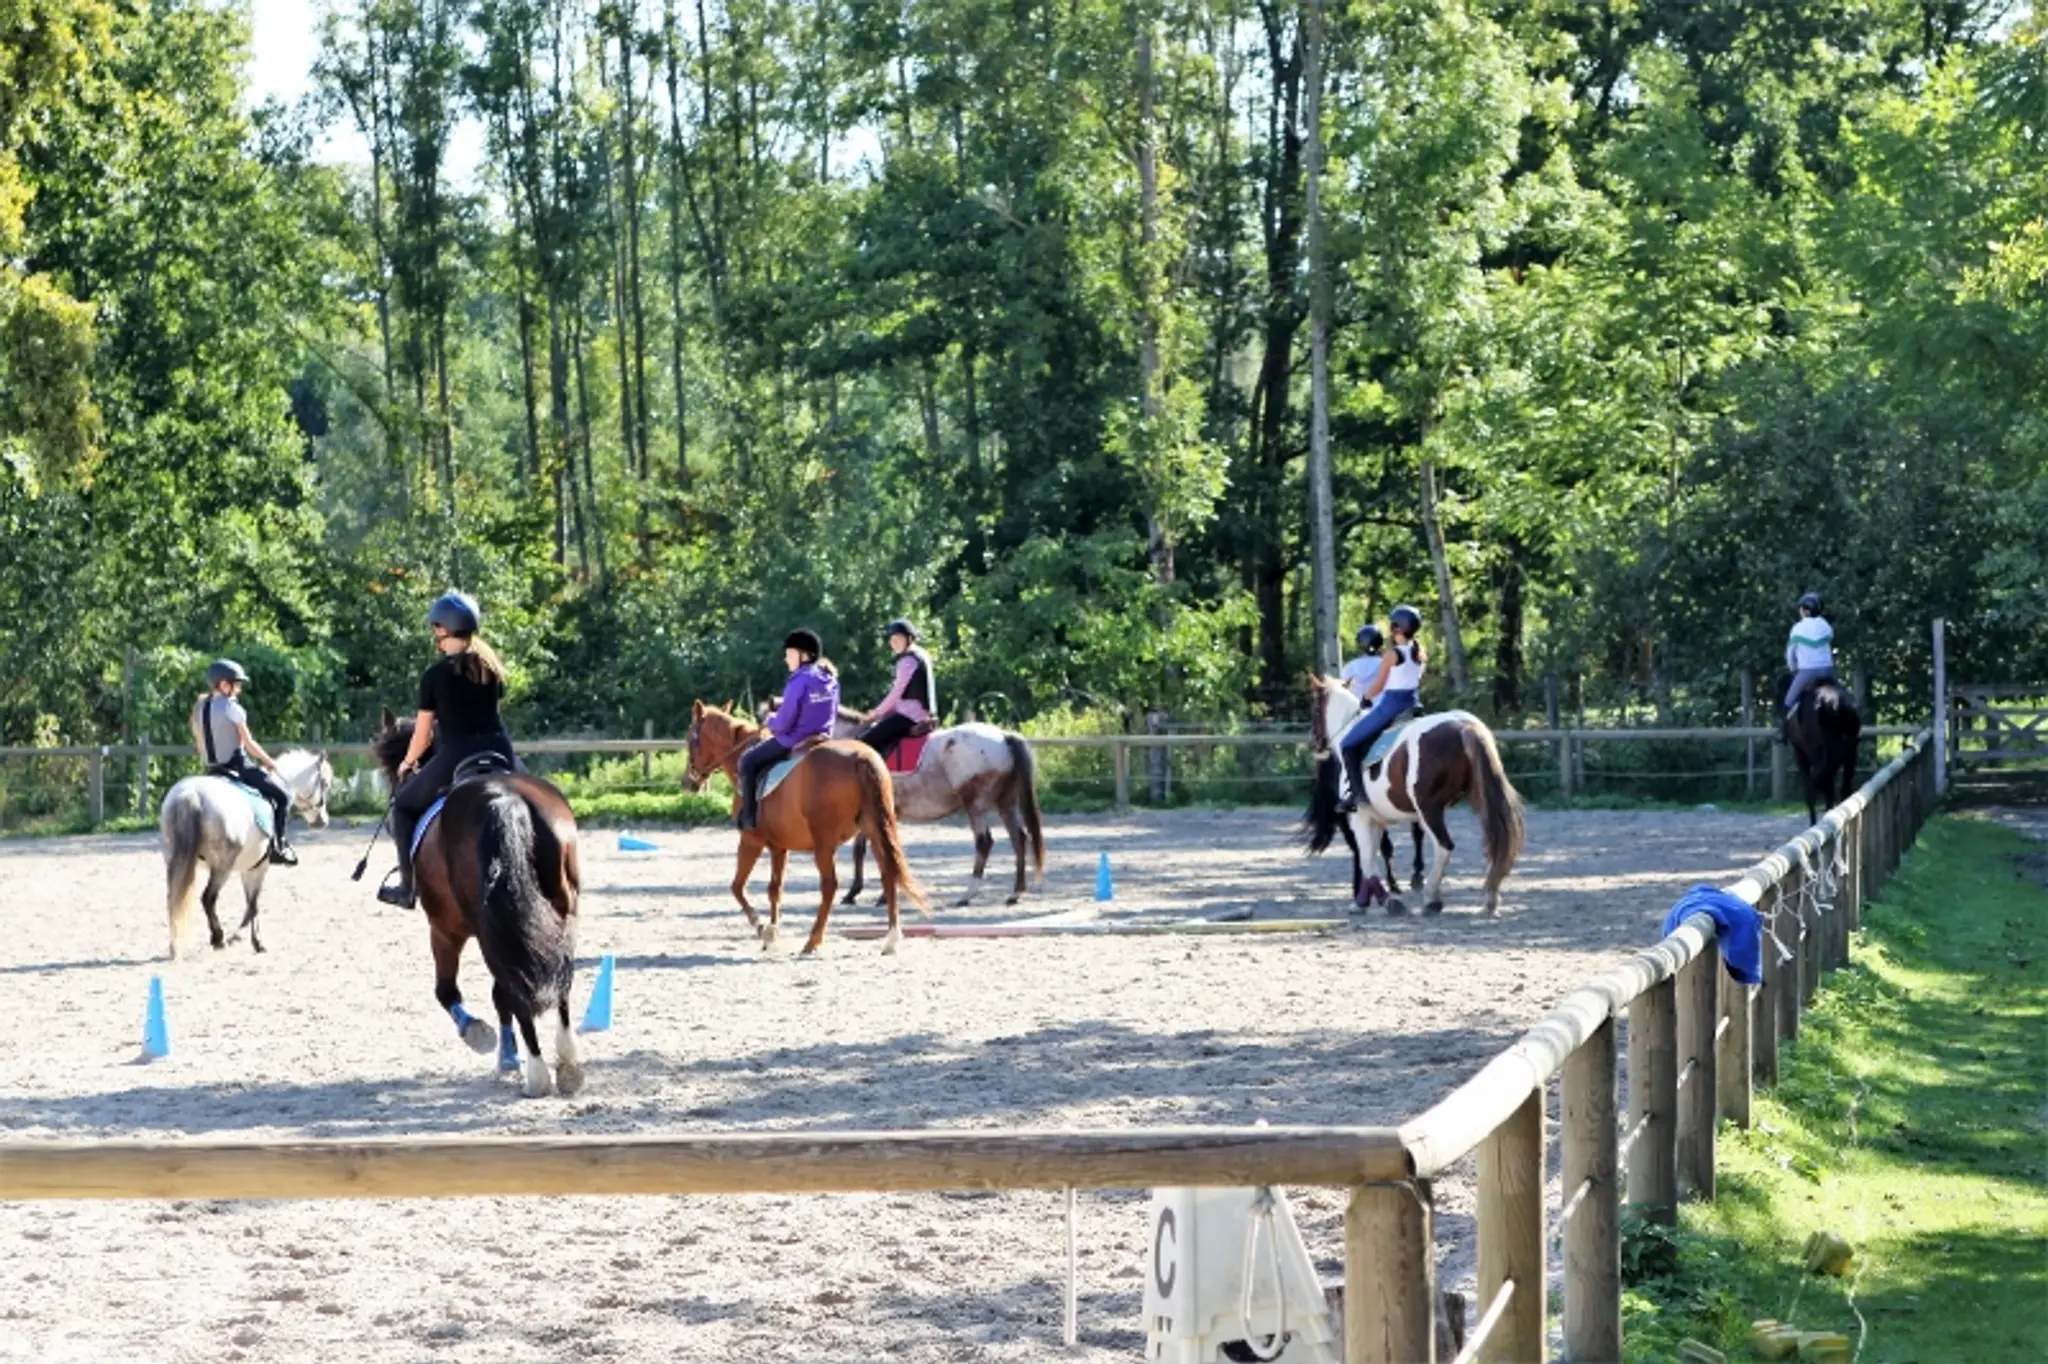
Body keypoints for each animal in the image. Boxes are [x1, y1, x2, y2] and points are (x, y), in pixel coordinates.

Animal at [160, 750, 333, 960]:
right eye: (325, 783)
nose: (322, 821)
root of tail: (191, 794)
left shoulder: (247, 867)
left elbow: (251, 903)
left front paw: (247, 938)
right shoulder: (259, 867)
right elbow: (254, 904)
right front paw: (249, 940)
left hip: (175, 860)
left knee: (173, 898)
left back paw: (175, 945)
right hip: (222, 867)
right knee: (208, 898)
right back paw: (218, 938)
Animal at [372, 712, 584, 1098]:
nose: (397, 786)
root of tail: (504, 798)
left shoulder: (444, 930)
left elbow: (446, 991)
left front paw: (481, 1036)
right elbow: (498, 995)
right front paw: (507, 1055)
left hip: (487, 930)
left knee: (514, 987)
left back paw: (537, 1075)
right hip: (559, 914)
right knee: (559, 978)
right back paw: (568, 1066)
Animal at [684, 700, 927, 954]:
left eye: (691, 739)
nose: (688, 782)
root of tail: (860, 756)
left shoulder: (751, 840)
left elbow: (737, 887)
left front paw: (762, 928)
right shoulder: (779, 847)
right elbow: (775, 888)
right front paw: (772, 932)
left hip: (824, 844)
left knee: (830, 885)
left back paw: (813, 940)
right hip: (874, 830)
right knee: (888, 874)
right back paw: (891, 938)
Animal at [1301, 675, 1525, 916]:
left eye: (1314, 708)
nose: (1313, 743)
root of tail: (1463, 725)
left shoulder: (1359, 817)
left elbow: (1367, 859)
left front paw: (1384, 901)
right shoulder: (1375, 819)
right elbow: (1372, 855)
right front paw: (1365, 900)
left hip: (1428, 809)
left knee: (1444, 846)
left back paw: (1432, 898)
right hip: (1480, 800)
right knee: (1494, 840)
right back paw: (1490, 899)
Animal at [1776, 670, 1861, 825]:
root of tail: (1833, 702)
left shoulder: (1801, 754)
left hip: (1816, 753)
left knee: (1817, 784)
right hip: (1850, 752)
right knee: (1843, 785)